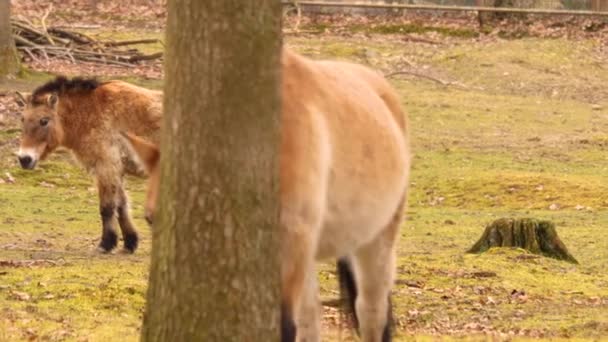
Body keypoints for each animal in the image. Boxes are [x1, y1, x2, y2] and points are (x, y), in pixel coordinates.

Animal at [16, 77, 163, 254]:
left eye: (44, 121)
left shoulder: (106, 167)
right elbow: (121, 205)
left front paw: (106, 244)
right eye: (23, 119)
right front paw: (130, 242)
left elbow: (107, 207)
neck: (91, 112)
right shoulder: (115, 170)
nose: (25, 159)